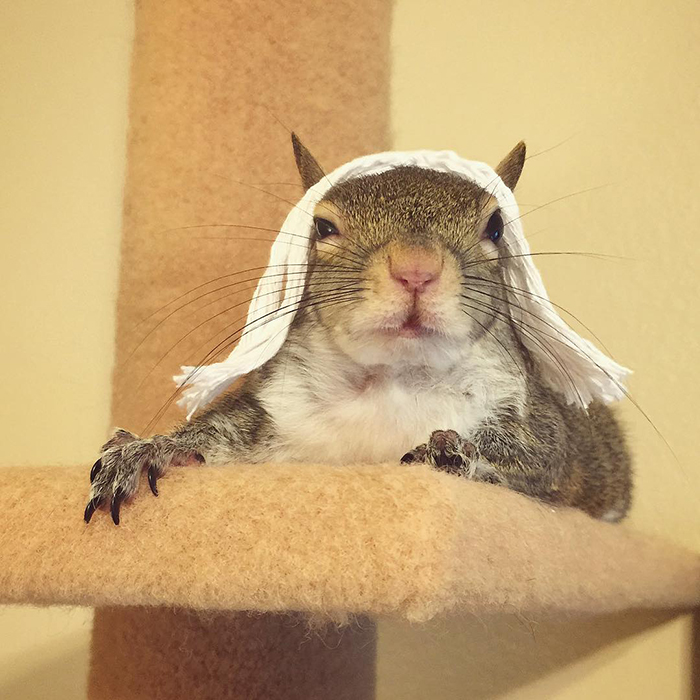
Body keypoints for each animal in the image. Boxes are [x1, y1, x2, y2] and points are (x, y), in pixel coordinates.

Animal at [85, 135, 632, 526]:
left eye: (495, 228)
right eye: (323, 227)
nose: (416, 269)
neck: (391, 378)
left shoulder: (542, 425)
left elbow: (537, 455)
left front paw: (452, 452)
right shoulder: (273, 411)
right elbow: (217, 434)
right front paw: (149, 449)